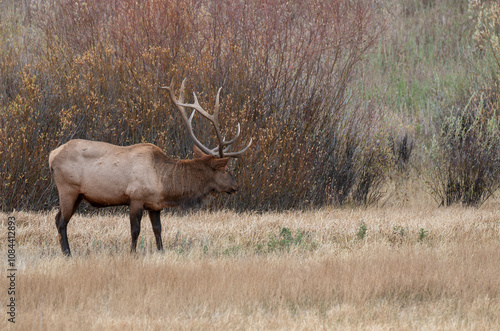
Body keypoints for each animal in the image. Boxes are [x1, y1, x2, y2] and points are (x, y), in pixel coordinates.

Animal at [48, 78, 252, 256]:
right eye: (227, 169)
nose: (236, 186)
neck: (164, 182)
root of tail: (51, 156)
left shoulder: (155, 204)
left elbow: (158, 229)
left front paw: (161, 252)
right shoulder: (135, 197)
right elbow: (135, 230)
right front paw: (132, 253)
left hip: (78, 195)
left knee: (59, 219)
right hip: (68, 189)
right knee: (61, 221)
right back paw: (68, 254)